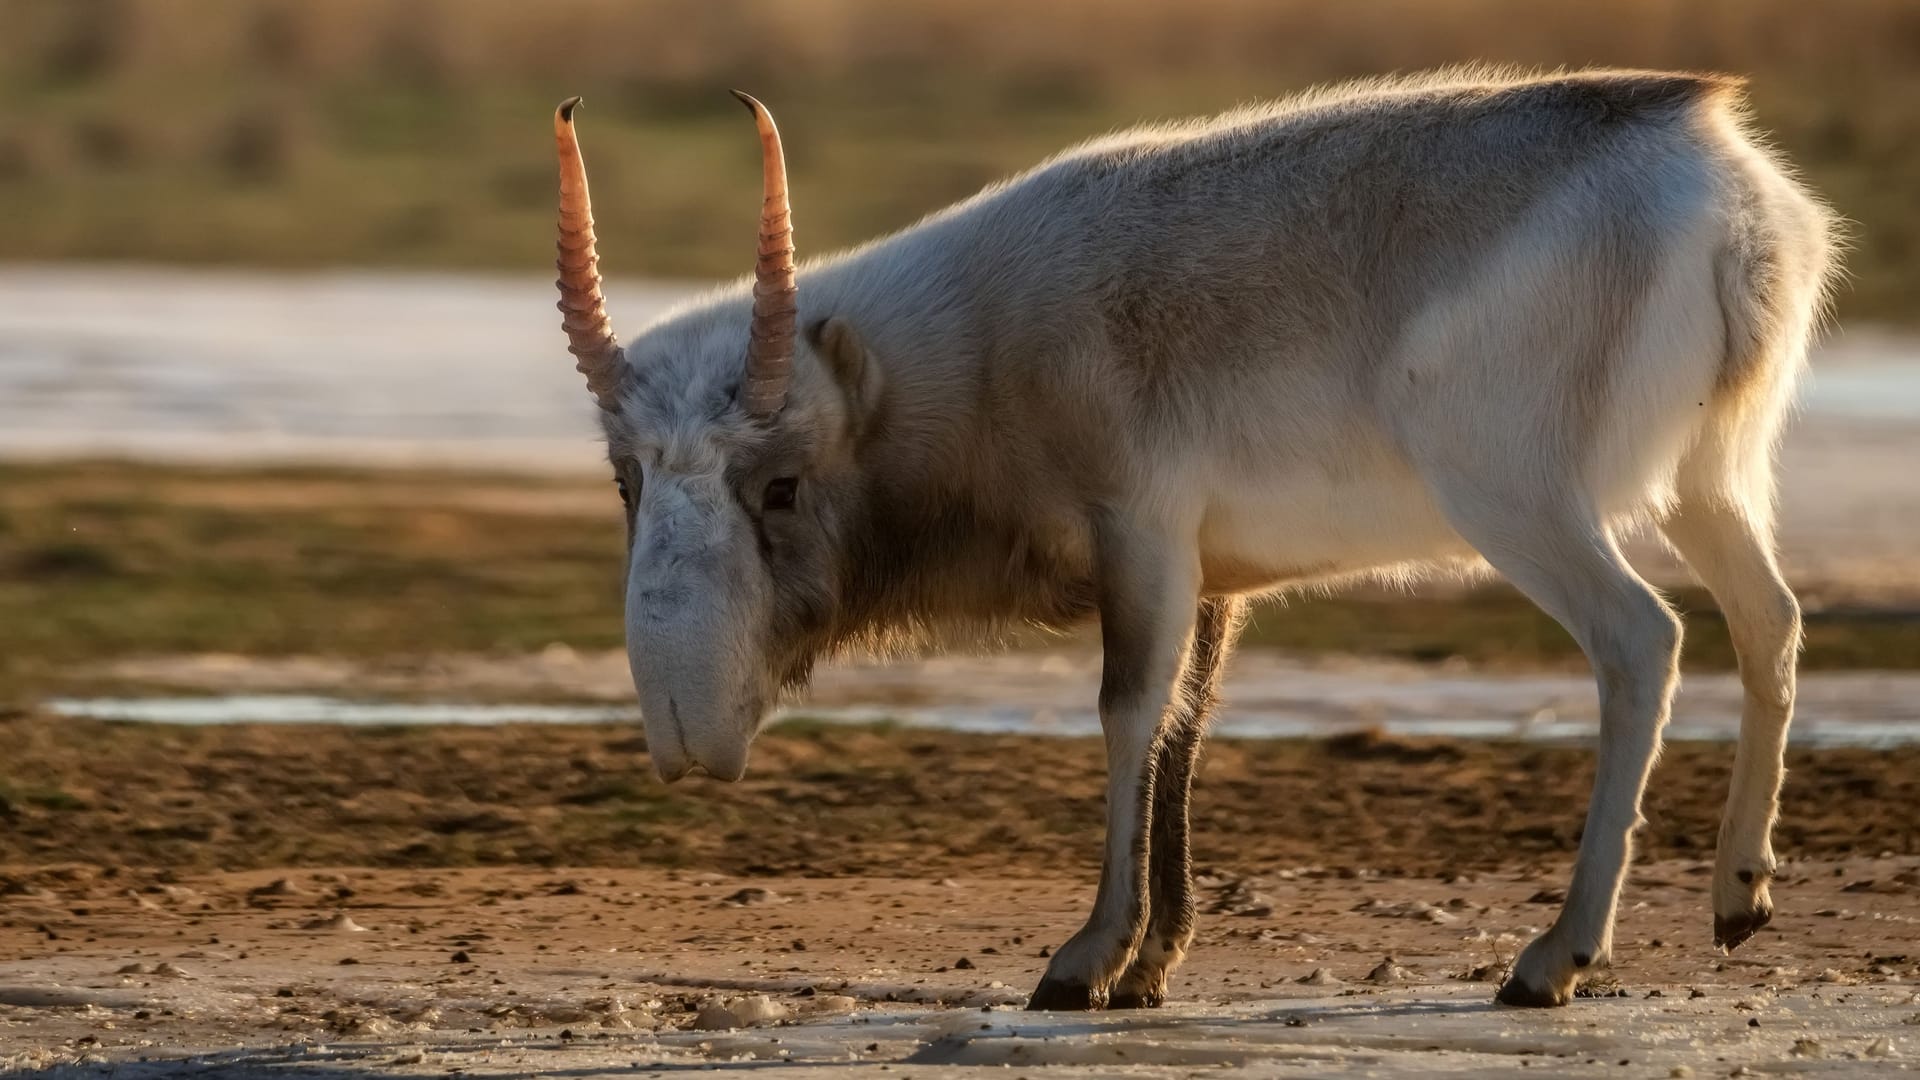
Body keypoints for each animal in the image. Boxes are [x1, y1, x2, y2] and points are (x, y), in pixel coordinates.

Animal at [549, 69, 1835, 1006]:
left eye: (779, 485)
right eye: (625, 477)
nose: (686, 730)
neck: (976, 341)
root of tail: (1715, 173)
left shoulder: (1145, 541)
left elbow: (1128, 713)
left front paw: (1084, 960)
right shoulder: (1217, 582)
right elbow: (1187, 728)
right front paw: (1154, 964)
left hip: (1524, 503)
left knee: (1643, 641)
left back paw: (1553, 958)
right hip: (1710, 485)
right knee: (1770, 618)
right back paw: (1738, 896)